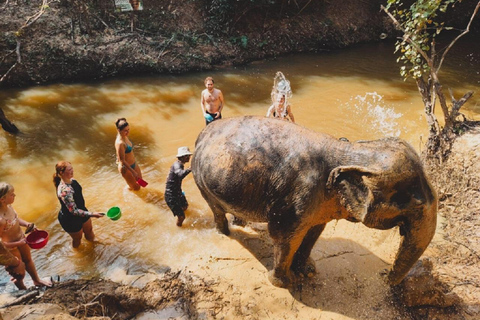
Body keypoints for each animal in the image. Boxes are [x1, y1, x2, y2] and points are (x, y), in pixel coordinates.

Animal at [190, 116, 436, 288]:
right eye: (414, 204)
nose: (383, 275)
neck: (347, 150)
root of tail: (202, 133)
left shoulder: (321, 204)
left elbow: (314, 231)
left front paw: (307, 271)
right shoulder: (295, 198)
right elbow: (284, 236)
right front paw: (282, 282)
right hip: (200, 180)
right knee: (216, 209)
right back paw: (225, 233)